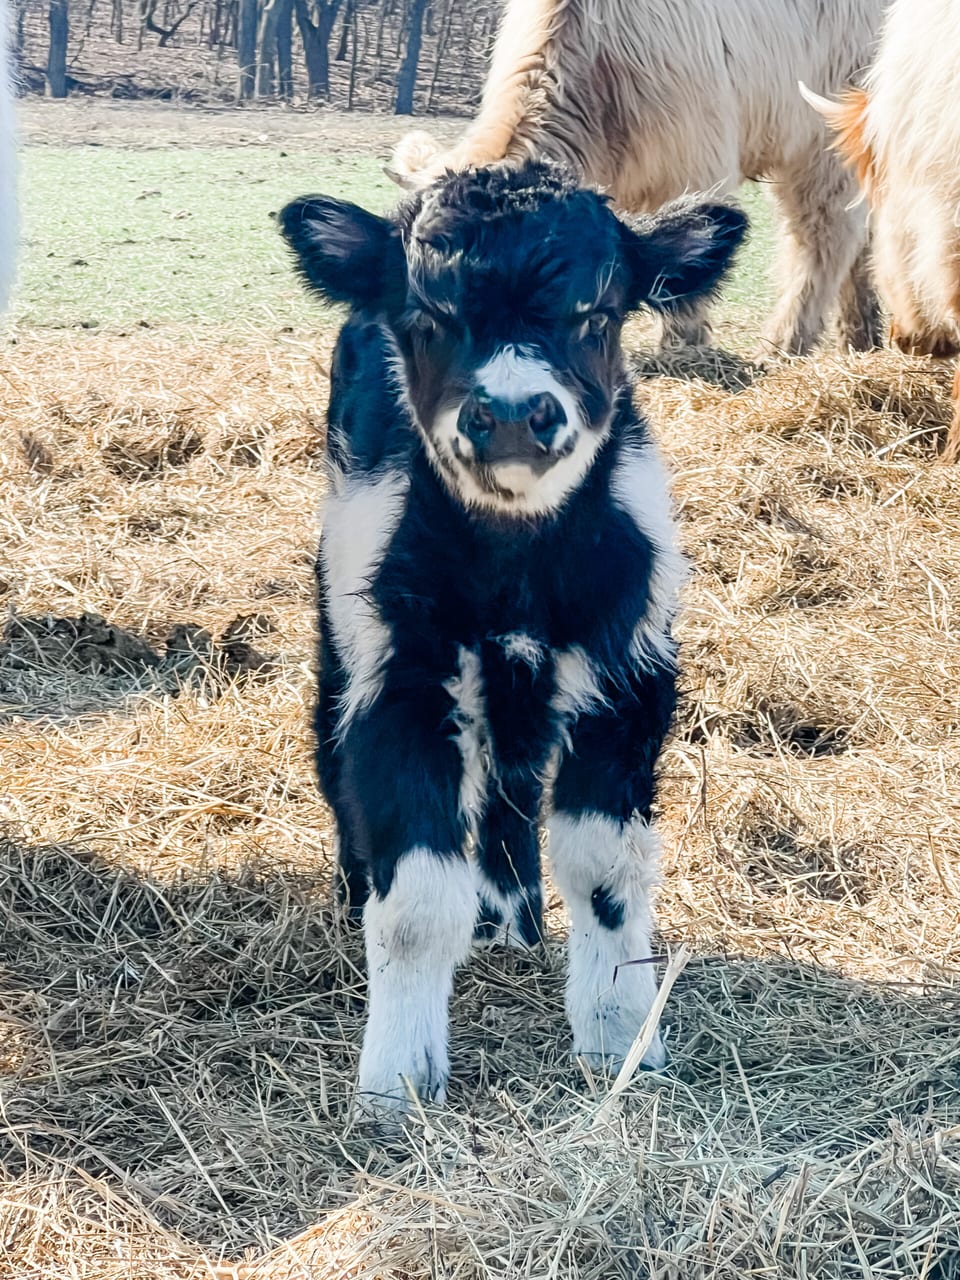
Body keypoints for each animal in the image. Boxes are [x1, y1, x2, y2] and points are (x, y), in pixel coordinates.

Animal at [279, 161, 747, 1115]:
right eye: (428, 317)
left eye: (597, 315)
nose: (508, 413)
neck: (518, 568)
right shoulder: (404, 681)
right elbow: (416, 903)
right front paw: (397, 1081)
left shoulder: (628, 677)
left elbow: (607, 871)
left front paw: (619, 1040)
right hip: (343, 627)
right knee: (340, 762)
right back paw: (363, 893)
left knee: (509, 790)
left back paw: (514, 920)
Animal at [386, 0, 885, 358]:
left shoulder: (695, 162)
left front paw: (684, 348)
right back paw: (862, 337)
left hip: (825, 133)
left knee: (823, 236)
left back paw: (785, 343)